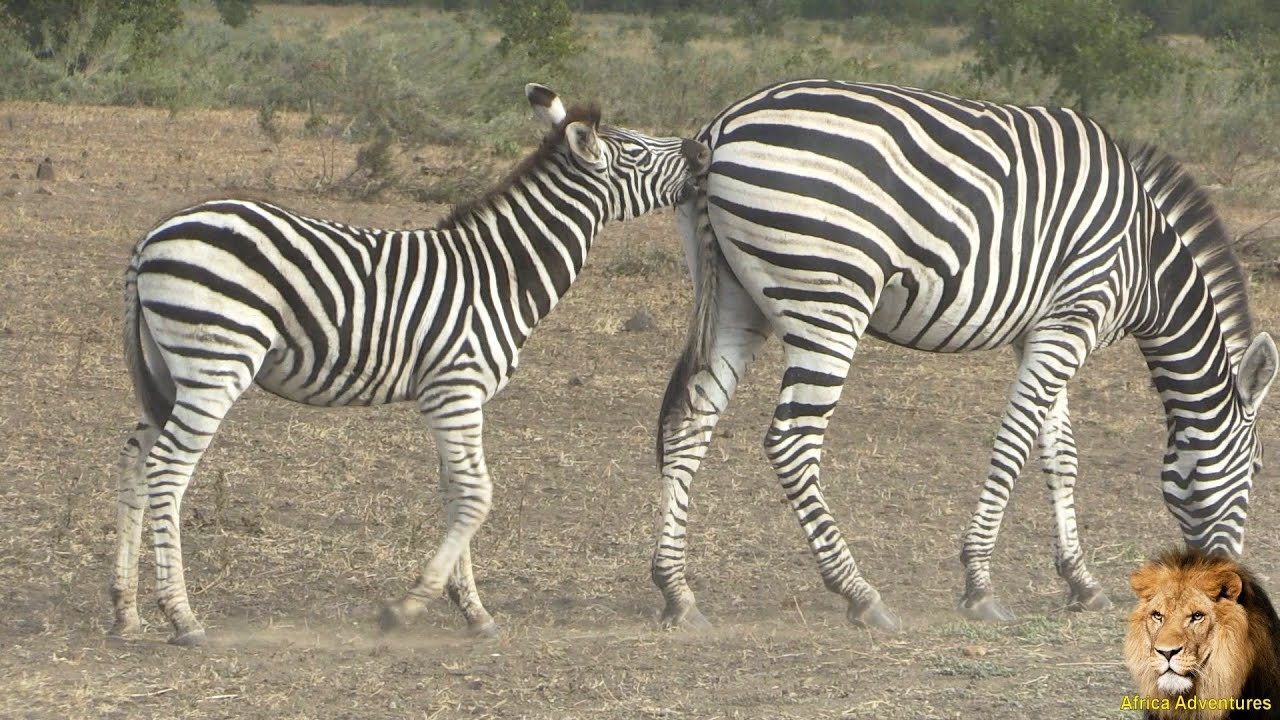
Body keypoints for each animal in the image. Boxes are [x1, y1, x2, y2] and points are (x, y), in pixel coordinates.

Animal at [110, 83, 710, 647]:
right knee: (167, 467)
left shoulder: (451, 397)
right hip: (216, 363)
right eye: (637, 149)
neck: (499, 273)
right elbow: (476, 495)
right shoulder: (456, 387)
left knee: (135, 460)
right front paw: (407, 607)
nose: (701, 150)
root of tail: (151, 238)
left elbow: (455, 492)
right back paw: (181, 616)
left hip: (166, 374)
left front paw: (473, 612)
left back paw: (126, 611)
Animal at [652, 79, 1277, 632]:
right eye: (1257, 468)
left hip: (734, 299)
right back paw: (860, 594)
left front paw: (1081, 581)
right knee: (791, 442)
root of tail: (721, 125)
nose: (1234, 589)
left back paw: (676, 592)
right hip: (828, 299)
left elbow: (1061, 455)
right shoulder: (1072, 320)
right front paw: (979, 584)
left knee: (689, 422)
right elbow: (1014, 444)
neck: (1147, 261)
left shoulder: (1044, 328)